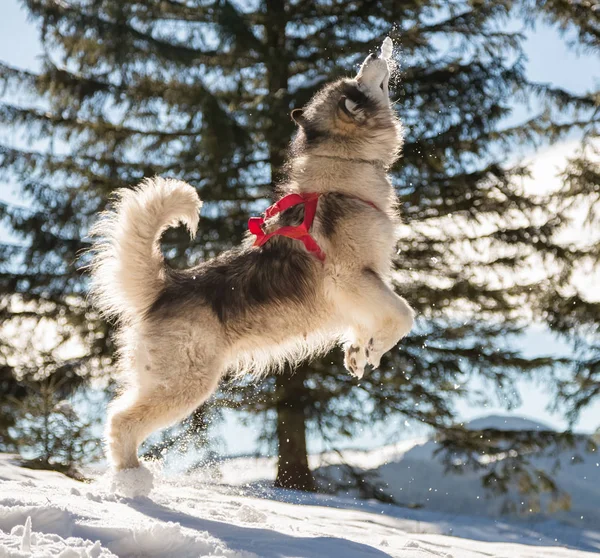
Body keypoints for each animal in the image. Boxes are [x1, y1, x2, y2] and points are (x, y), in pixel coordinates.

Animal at [91, 40, 414, 472]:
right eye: (359, 80)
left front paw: (359, 353)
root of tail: (167, 286)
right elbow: (404, 315)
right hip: (185, 385)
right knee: (120, 422)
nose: (374, 53)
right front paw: (377, 347)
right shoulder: (351, 277)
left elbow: (369, 324)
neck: (344, 175)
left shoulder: (362, 290)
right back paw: (133, 477)